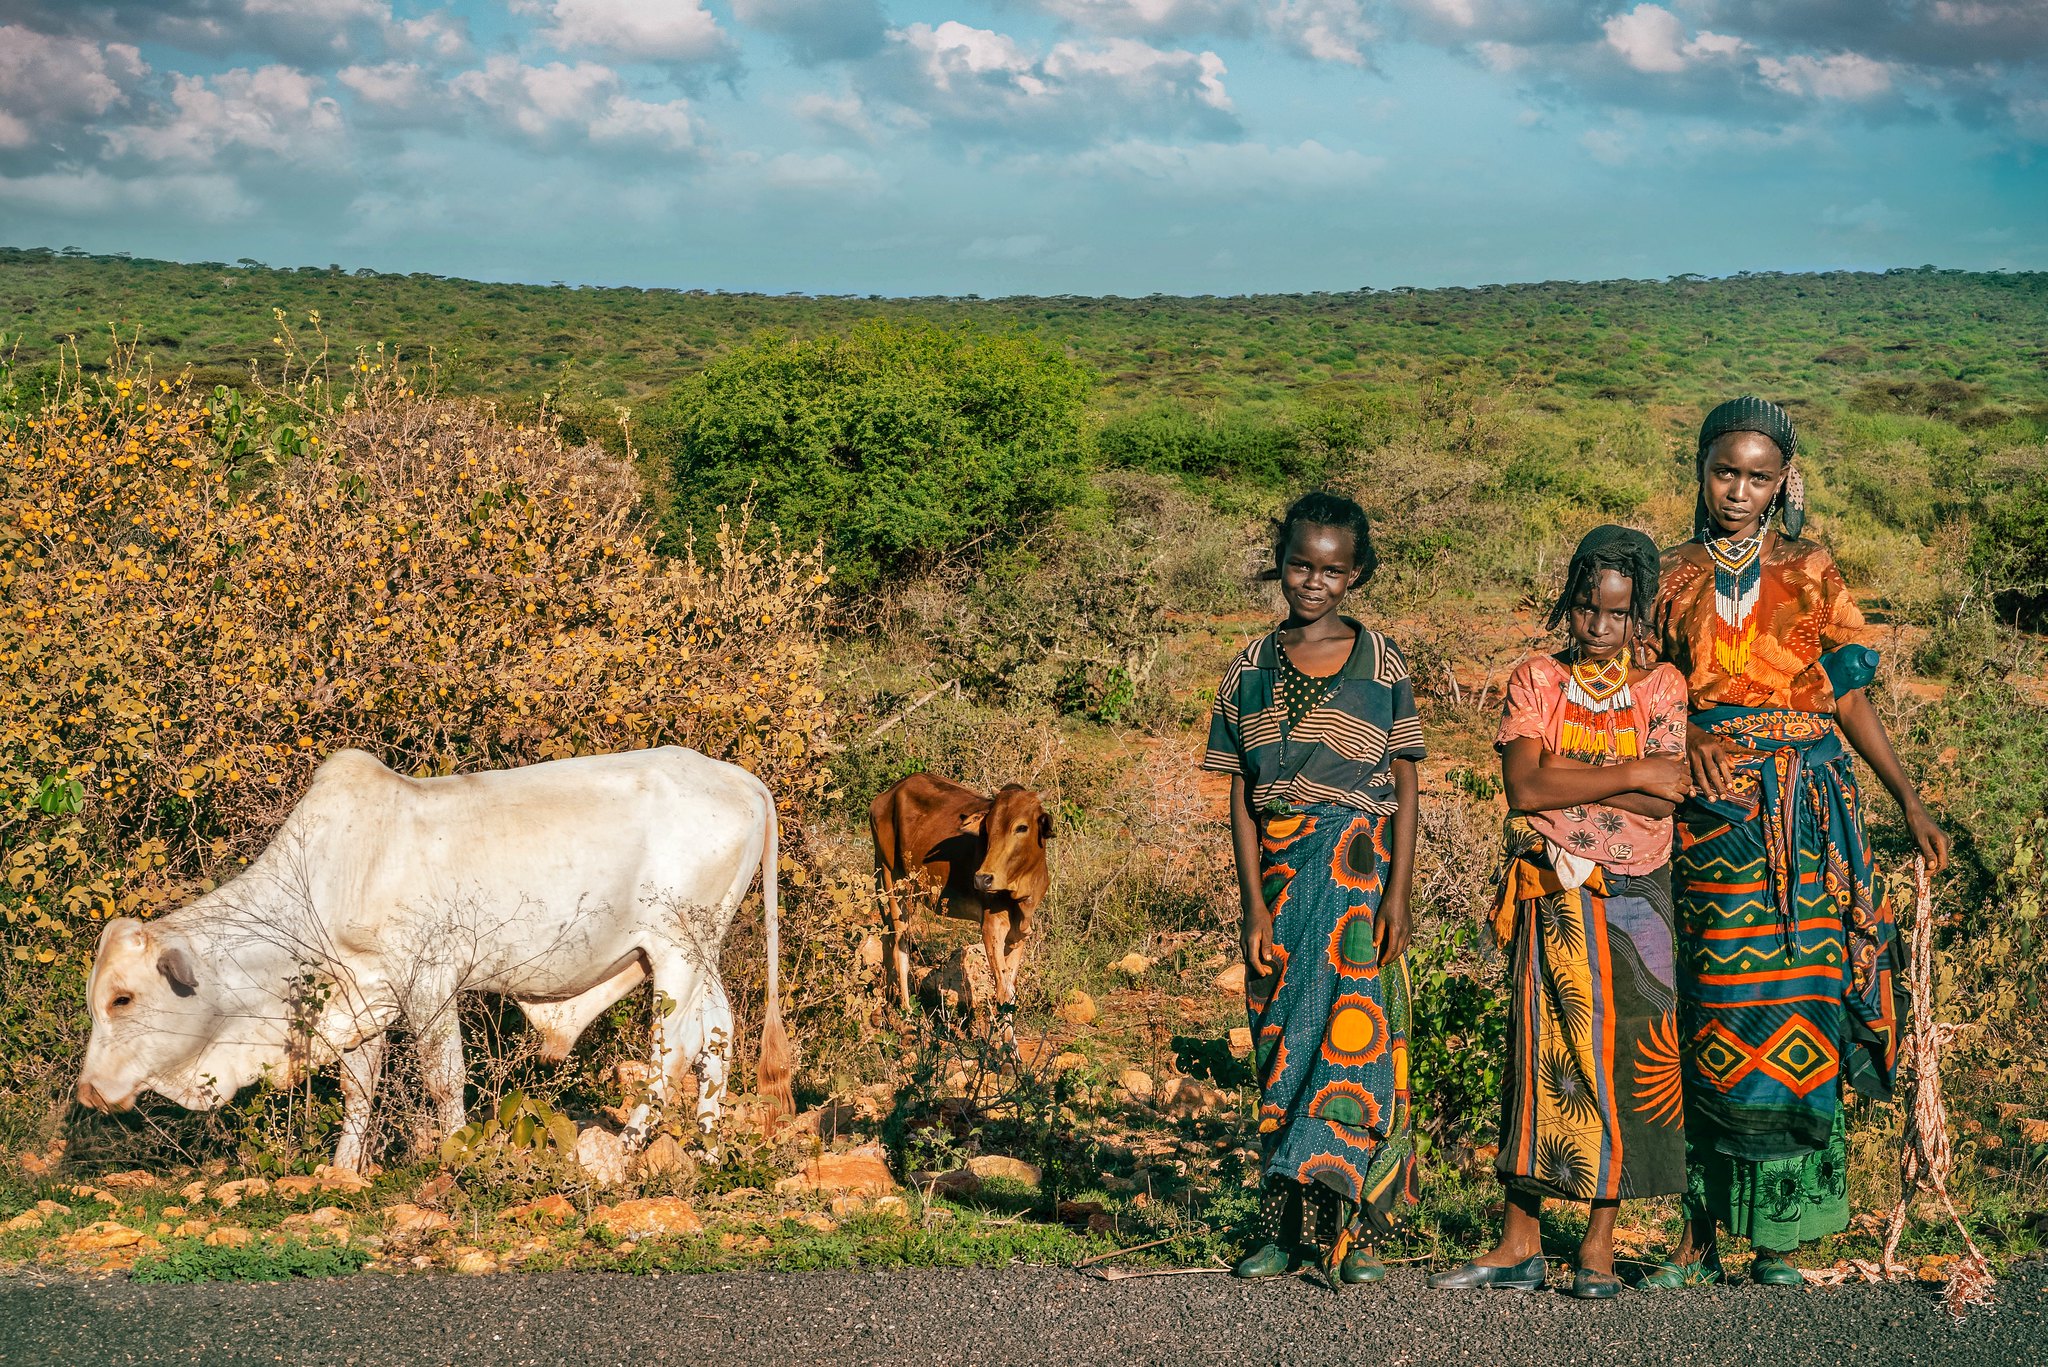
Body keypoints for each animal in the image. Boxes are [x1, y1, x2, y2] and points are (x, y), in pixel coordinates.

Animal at [75, 741, 790, 1172]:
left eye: (123, 997)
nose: (88, 1092)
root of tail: (741, 779)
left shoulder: (429, 982)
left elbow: (443, 1076)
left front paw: (451, 1152)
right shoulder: (363, 995)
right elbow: (360, 1089)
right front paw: (344, 1171)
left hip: (676, 948)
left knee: (670, 1046)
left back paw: (629, 1146)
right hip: (700, 950)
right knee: (718, 1032)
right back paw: (708, 1149)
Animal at [868, 770, 1056, 1016]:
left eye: (1022, 827)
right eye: (987, 827)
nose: (982, 879)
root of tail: (884, 797)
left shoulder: (1020, 932)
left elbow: (1011, 989)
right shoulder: (991, 926)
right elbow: (1003, 991)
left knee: (889, 937)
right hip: (894, 883)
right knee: (901, 942)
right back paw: (907, 1009)